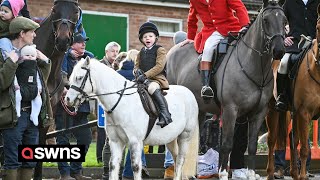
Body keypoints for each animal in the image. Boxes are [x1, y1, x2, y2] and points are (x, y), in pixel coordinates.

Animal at [64, 57, 199, 180]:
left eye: (79, 77)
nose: (67, 100)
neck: (122, 102)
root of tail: (190, 93)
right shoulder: (116, 141)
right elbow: (113, 165)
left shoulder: (135, 141)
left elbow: (136, 167)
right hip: (170, 139)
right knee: (176, 158)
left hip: (184, 137)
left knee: (180, 160)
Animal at [166, 0, 286, 178]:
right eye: (266, 21)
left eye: (284, 21)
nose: (279, 50)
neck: (254, 66)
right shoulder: (230, 110)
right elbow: (227, 144)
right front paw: (222, 174)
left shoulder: (259, 113)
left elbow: (251, 146)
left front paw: (251, 174)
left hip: (200, 111)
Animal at [266, 5, 320, 180]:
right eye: (318, 27)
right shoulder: (304, 113)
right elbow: (305, 149)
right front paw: (303, 176)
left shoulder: (301, 113)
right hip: (273, 110)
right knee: (272, 140)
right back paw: (272, 172)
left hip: (293, 112)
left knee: (292, 139)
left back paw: (294, 173)